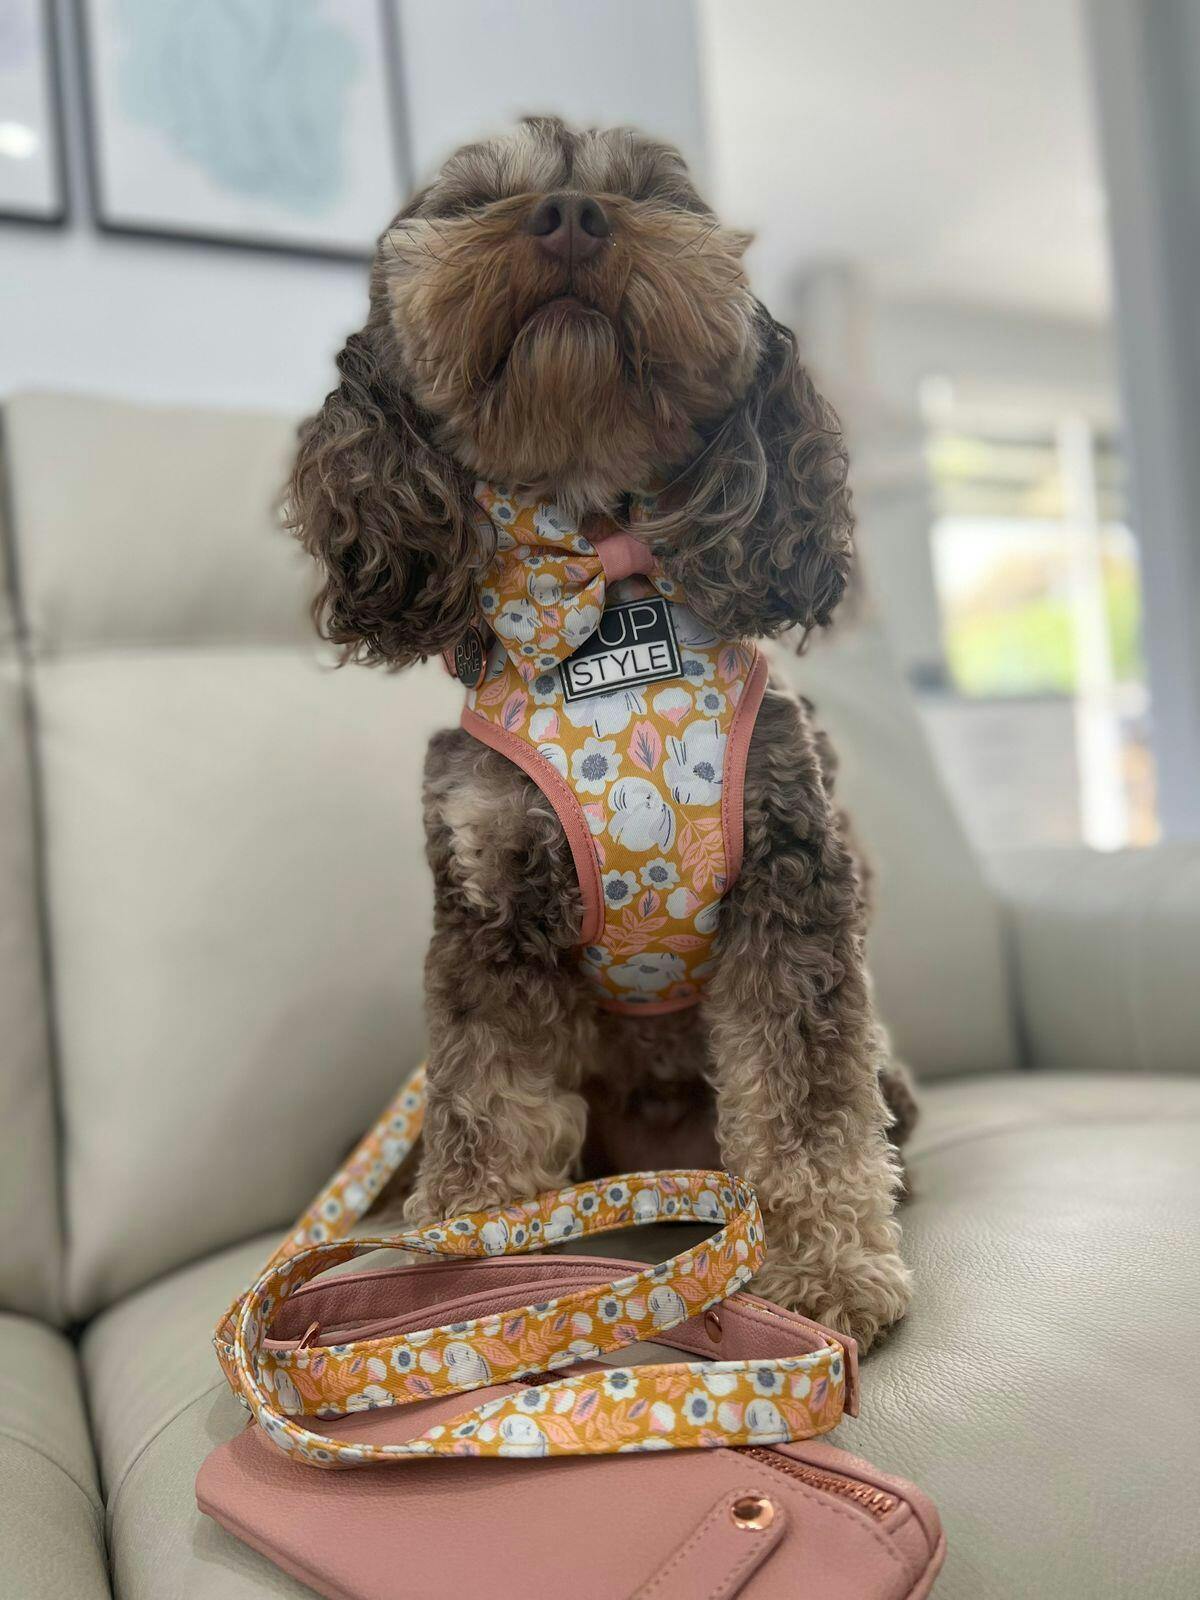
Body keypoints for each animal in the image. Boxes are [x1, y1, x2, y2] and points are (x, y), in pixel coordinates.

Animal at [288, 116, 914, 1351]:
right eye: (474, 198)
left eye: (654, 194)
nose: (573, 215)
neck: (603, 598)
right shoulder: (491, 917)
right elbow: (487, 1110)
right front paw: (457, 1275)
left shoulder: (792, 881)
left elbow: (808, 1107)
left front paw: (823, 1271)